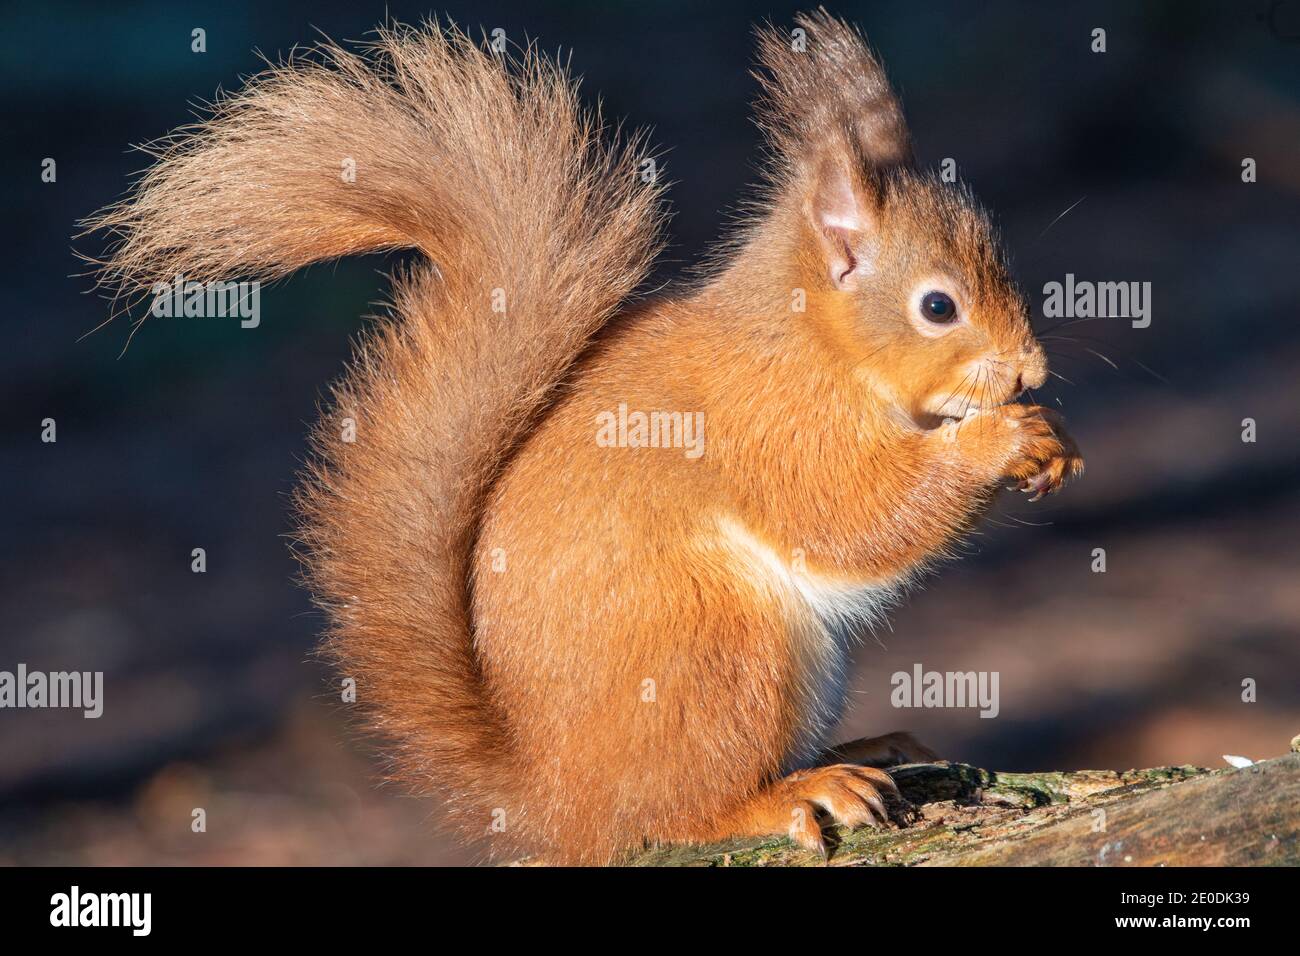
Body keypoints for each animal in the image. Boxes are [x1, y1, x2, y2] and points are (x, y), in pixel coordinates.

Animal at [86, 13, 1086, 868]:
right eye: (938, 306)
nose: (1029, 370)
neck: (808, 337)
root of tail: (557, 797)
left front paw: (1056, 439)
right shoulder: (768, 419)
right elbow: (850, 517)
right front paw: (998, 442)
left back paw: (866, 745)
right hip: (714, 647)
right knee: (673, 811)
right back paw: (791, 793)